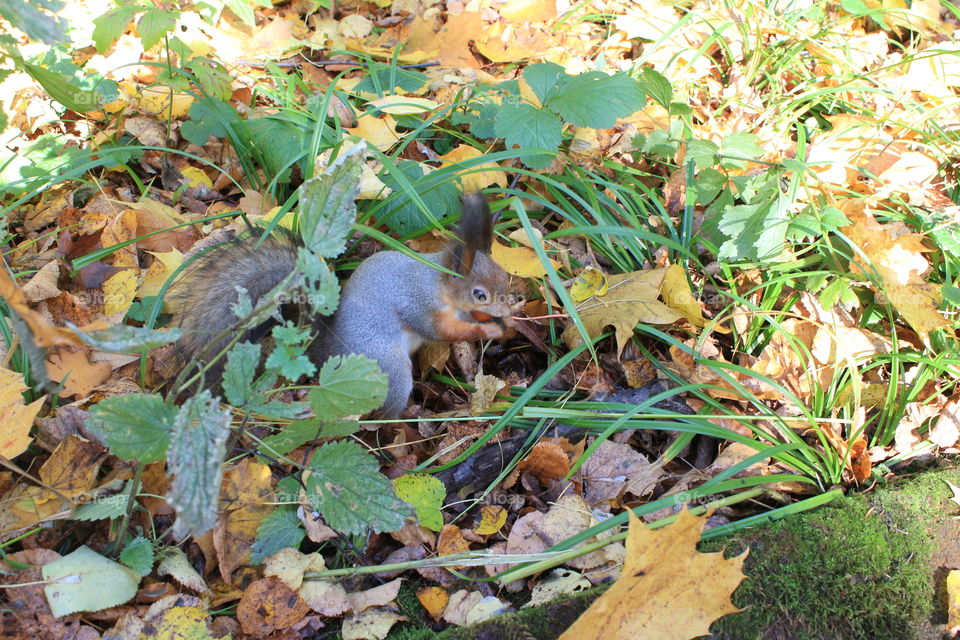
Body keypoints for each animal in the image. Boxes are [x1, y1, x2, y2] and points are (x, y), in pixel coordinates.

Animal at [169, 192, 514, 417]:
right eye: (480, 293)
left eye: (502, 273)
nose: (511, 308)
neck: (437, 283)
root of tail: (324, 350)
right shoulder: (419, 302)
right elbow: (442, 330)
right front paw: (487, 330)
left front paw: (499, 324)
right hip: (386, 367)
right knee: (382, 412)